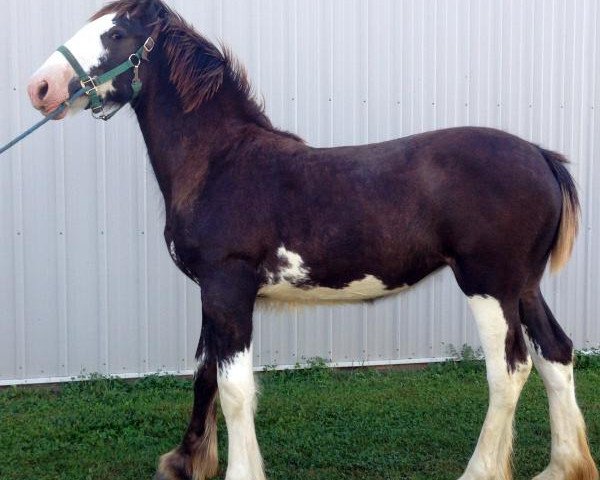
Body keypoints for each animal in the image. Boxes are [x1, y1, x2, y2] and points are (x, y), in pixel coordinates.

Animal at [25, 0, 596, 480]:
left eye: (116, 33)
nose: (40, 87)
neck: (220, 163)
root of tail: (541, 155)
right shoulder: (212, 293)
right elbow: (205, 374)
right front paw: (186, 462)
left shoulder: (228, 287)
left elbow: (234, 388)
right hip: (524, 286)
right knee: (555, 354)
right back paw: (563, 466)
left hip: (489, 284)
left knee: (509, 370)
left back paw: (481, 470)